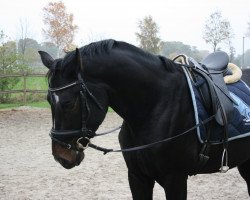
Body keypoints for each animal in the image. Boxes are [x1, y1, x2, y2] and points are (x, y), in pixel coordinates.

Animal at [38, 39, 250, 200]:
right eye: (48, 99)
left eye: (68, 103)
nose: (61, 156)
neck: (155, 105)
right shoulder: (137, 177)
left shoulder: (175, 179)